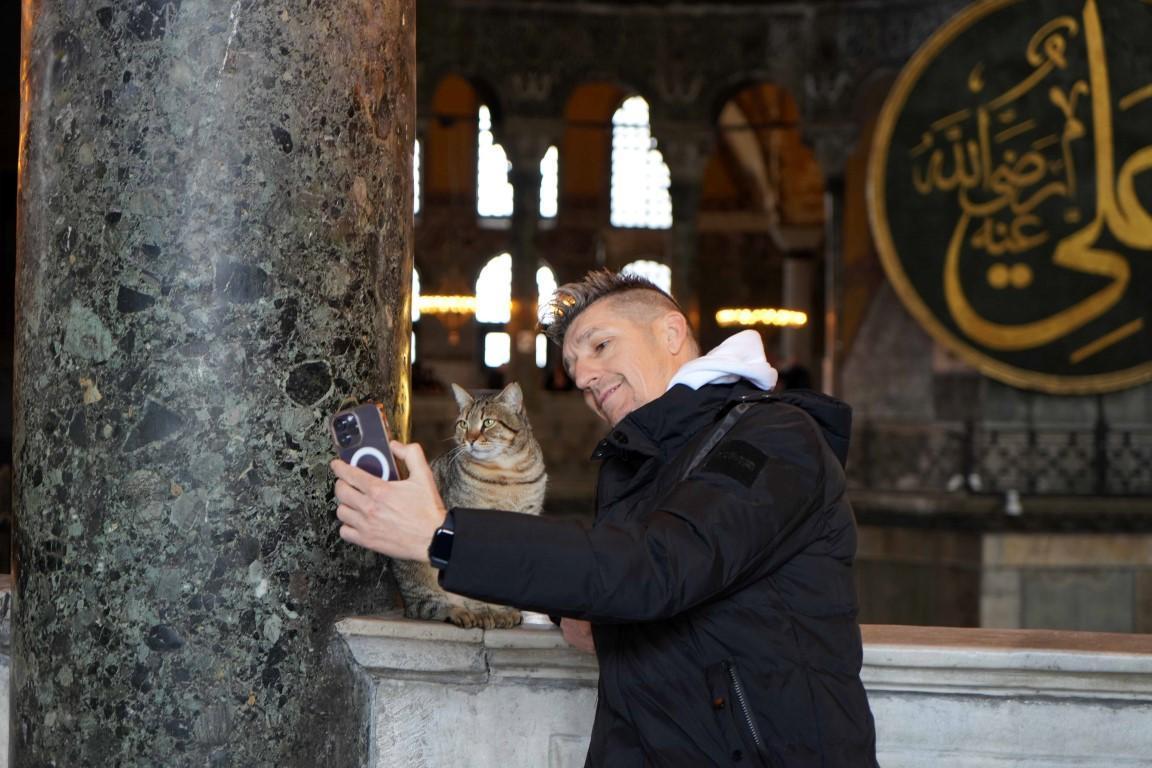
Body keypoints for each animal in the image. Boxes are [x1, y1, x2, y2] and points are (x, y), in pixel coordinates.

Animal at [389, 382, 546, 630]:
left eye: (488, 422)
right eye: (463, 424)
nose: (469, 439)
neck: (507, 472)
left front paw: (503, 611)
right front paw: (484, 612)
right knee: (425, 606)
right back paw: (458, 611)